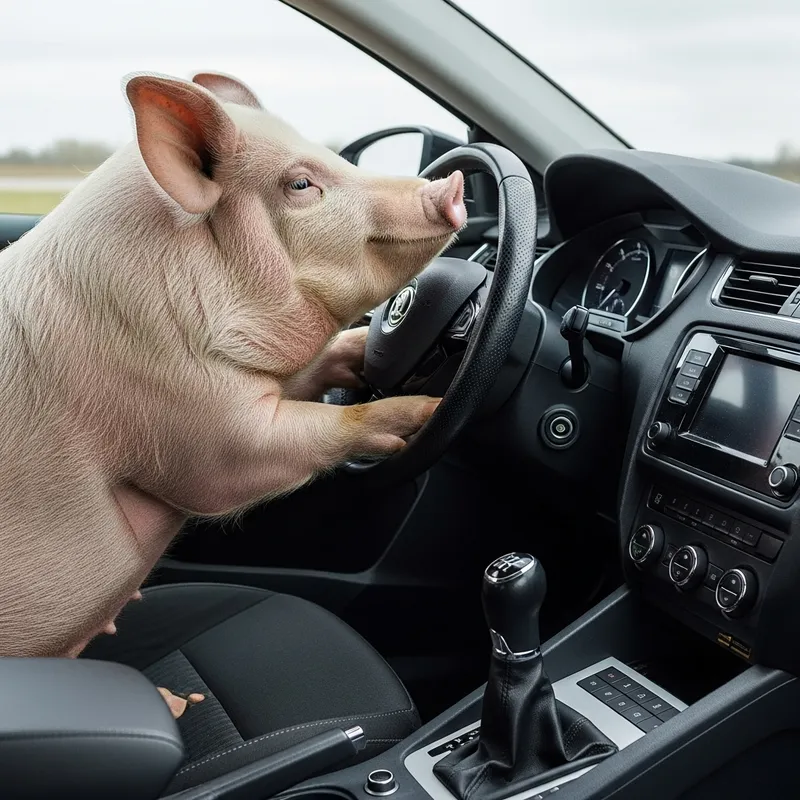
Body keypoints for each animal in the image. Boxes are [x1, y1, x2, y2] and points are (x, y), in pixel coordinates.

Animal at [0, 70, 467, 659]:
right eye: (300, 184)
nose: (452, 184)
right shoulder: (177, 415)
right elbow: (258, 453)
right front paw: (427, 410)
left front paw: (366, 349)